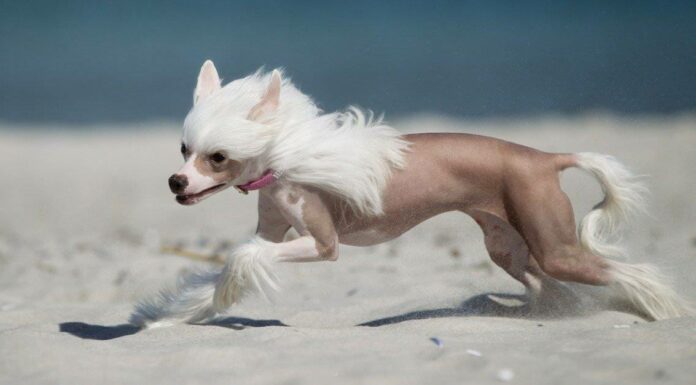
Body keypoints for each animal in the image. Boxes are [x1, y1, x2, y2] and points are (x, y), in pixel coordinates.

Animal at [130, 60, 692, 328]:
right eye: (184, 149)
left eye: (217, 156)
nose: (176, 182)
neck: (284, 159)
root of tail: (543, 156)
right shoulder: (274, 231)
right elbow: (226, 269)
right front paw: (167, 316)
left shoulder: (322, 245)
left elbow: (243, 257)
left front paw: (223, 290)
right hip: (509, 247)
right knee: (545, 287)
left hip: (555, 247)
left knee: (623, 271)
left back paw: (665, 309)